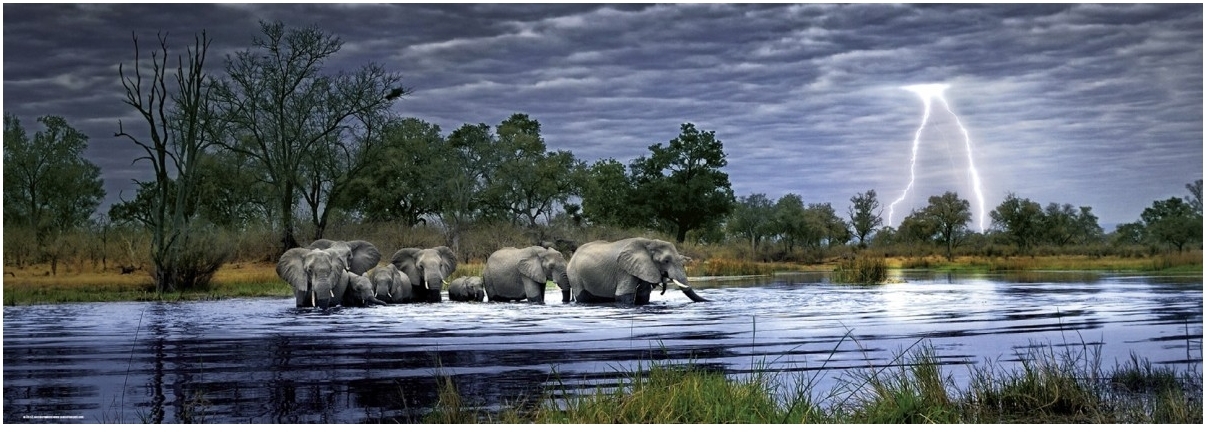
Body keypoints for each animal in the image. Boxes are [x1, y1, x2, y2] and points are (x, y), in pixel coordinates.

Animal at [566, 237, 709, 305]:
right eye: (666, 261)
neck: (649, 242)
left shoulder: (646, 267)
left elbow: (643, 295)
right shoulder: (624, 270)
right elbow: (624, 294)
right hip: (574, 275)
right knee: (583, 296)